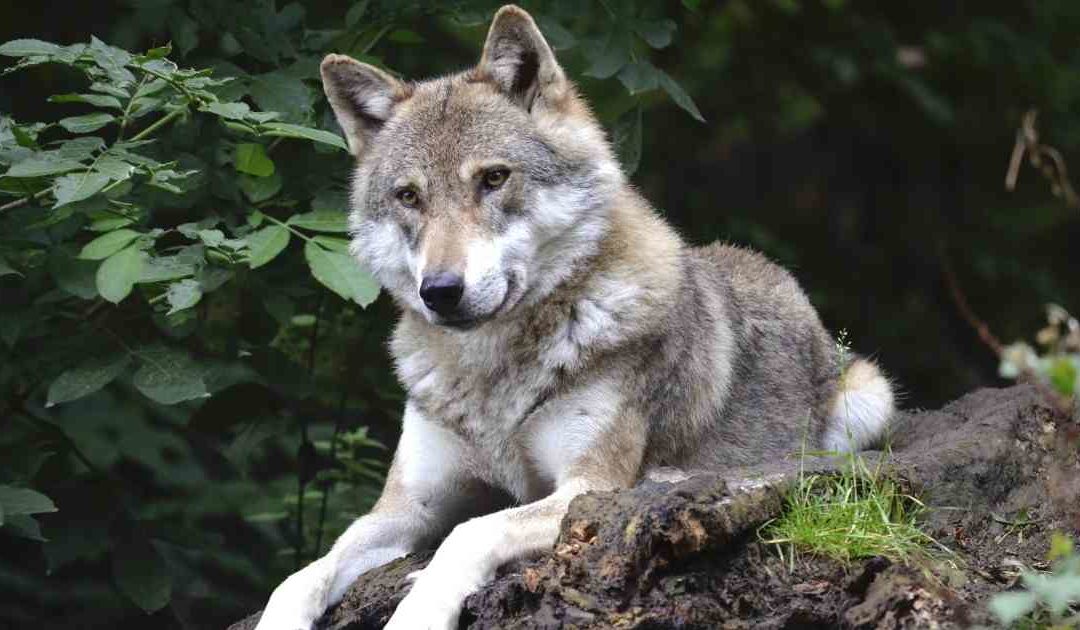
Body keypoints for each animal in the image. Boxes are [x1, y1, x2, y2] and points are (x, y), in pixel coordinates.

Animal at [254, 6, 894, 630]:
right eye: (409, 197)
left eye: (493, 178)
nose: (440, 291)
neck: (492, 375)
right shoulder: (408, 506)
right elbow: (301, 574)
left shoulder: (588, 488)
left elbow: (469, 532)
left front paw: (419, 609)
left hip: (868, 399)